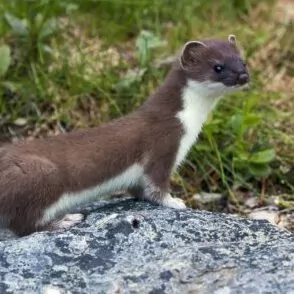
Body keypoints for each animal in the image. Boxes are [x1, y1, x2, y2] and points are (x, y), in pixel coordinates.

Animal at [0, 34, 250, 237]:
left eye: (243, 60)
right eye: (218, 66)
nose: (243, 76)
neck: (190, 124)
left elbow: (139, 189)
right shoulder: (163, 146)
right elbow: (156, 186)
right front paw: (175, 201)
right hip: (40, 175)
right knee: (24, 224)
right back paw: (65, 220)